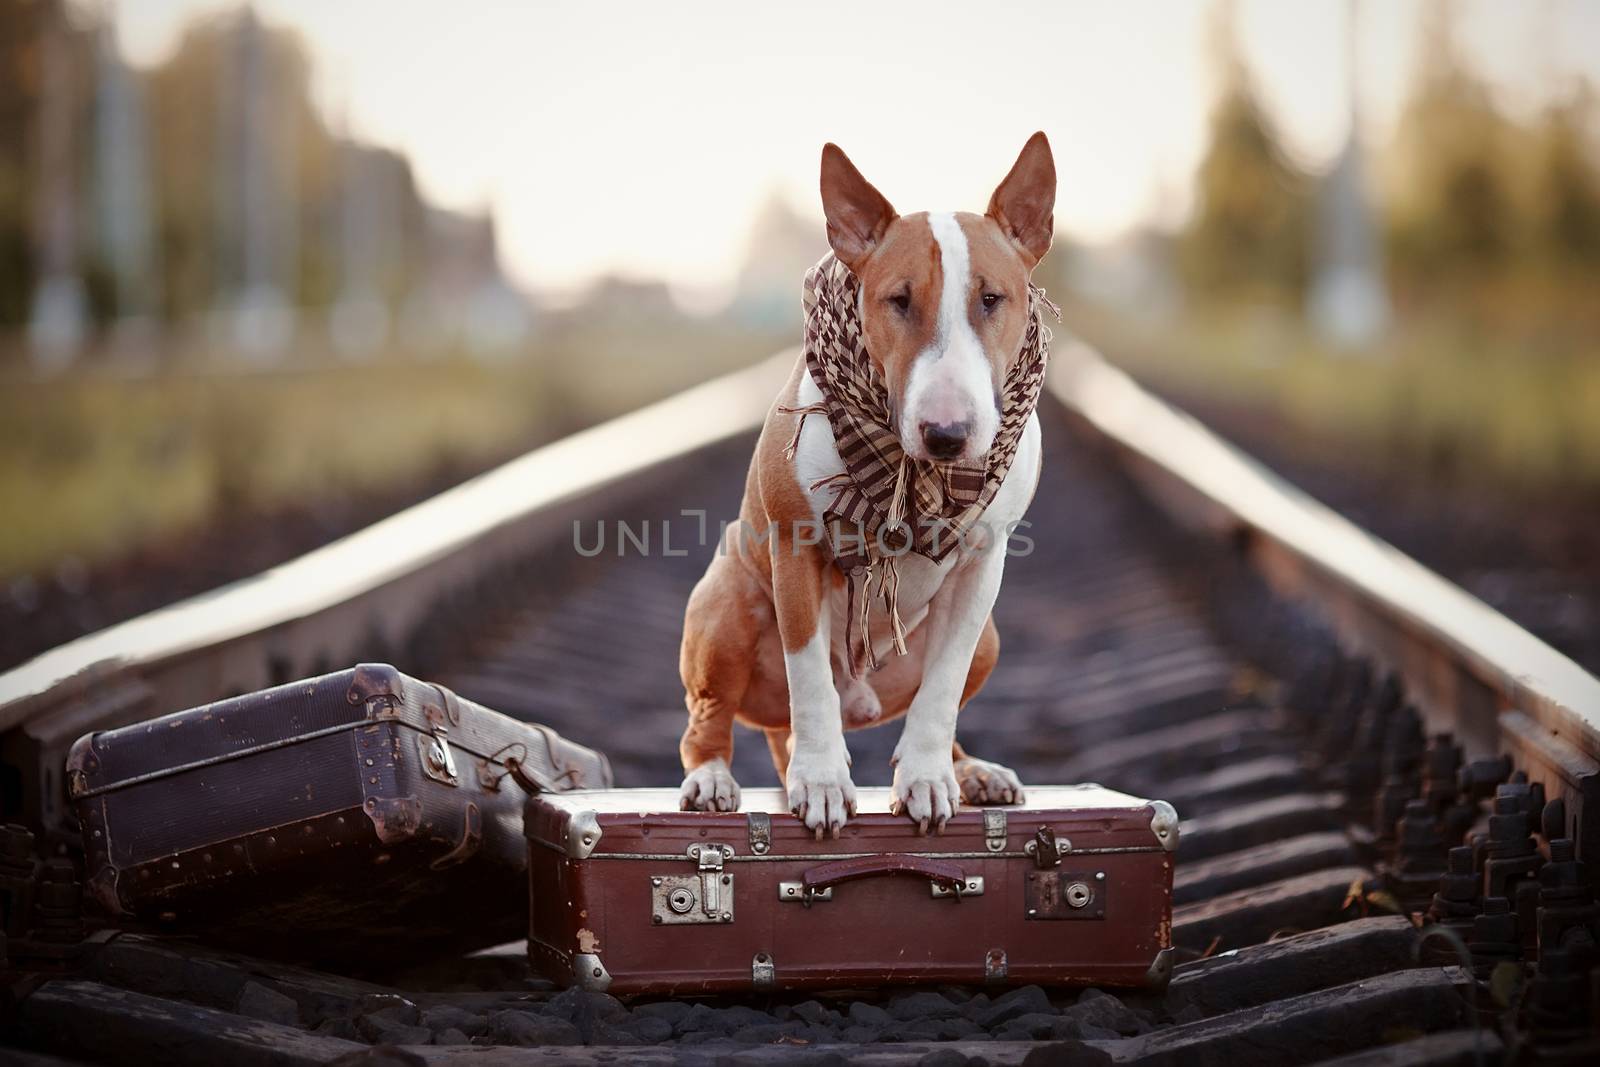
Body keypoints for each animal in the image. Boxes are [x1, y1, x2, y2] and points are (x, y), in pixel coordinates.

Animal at [681, 131, 1056, 831]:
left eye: (992, 299)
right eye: (899, 299)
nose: (947, 435)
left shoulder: (981, 568)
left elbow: (940, 692)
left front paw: (929, 779)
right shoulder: (795, 552)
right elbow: (809, 679)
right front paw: (824, 782)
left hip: (987, 640)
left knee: (934, 705)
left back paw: (970, 772)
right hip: (727, 607)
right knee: (715, 721)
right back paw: (716, 779)